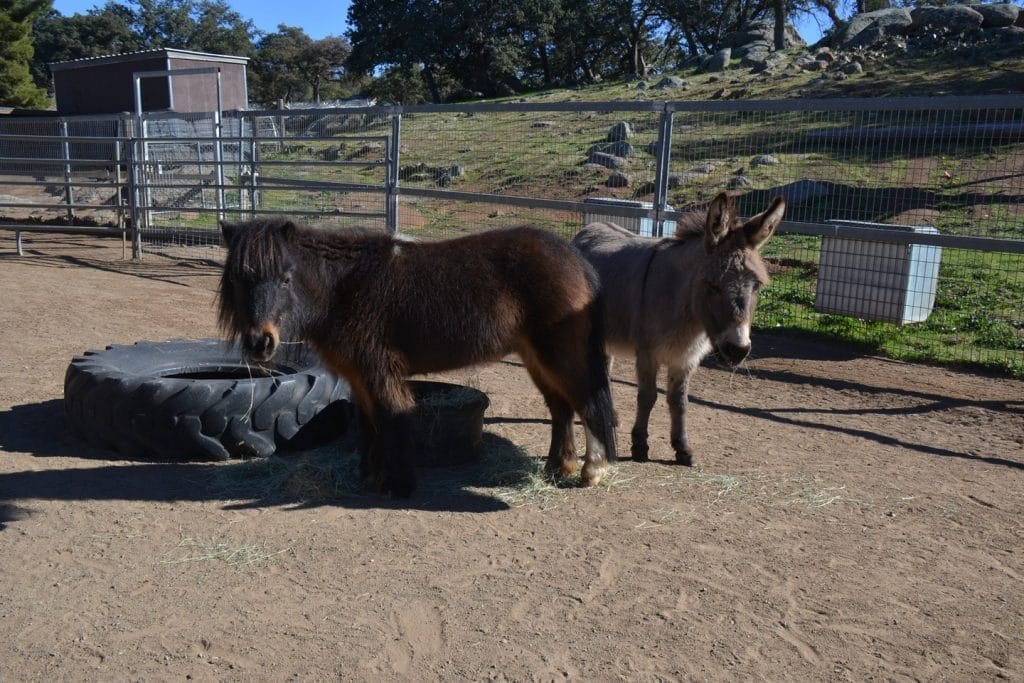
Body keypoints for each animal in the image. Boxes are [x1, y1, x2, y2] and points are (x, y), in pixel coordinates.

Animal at [217, 218, 618, 497]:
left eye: (285, 279)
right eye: (236, 280)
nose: (260, 343)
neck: (345, 289)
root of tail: (575, 258)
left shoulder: (379, 372)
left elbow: (391, 419)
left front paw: (398, 485)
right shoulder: (359, 376)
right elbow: (368, 424)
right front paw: (369, 475)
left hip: (560, 355)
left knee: (587, 404)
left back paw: (591, 472)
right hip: (536, 358)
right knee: (561, 409)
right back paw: (557, 468)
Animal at [572, 191, 785, 466]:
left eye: (757, 285)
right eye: (712, 285)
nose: (737, 350)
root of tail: (589, 227)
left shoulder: (685, 358)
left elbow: (680, 401)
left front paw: (683, 449)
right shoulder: (648, 354)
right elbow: (648, 396)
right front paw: (640, 445)